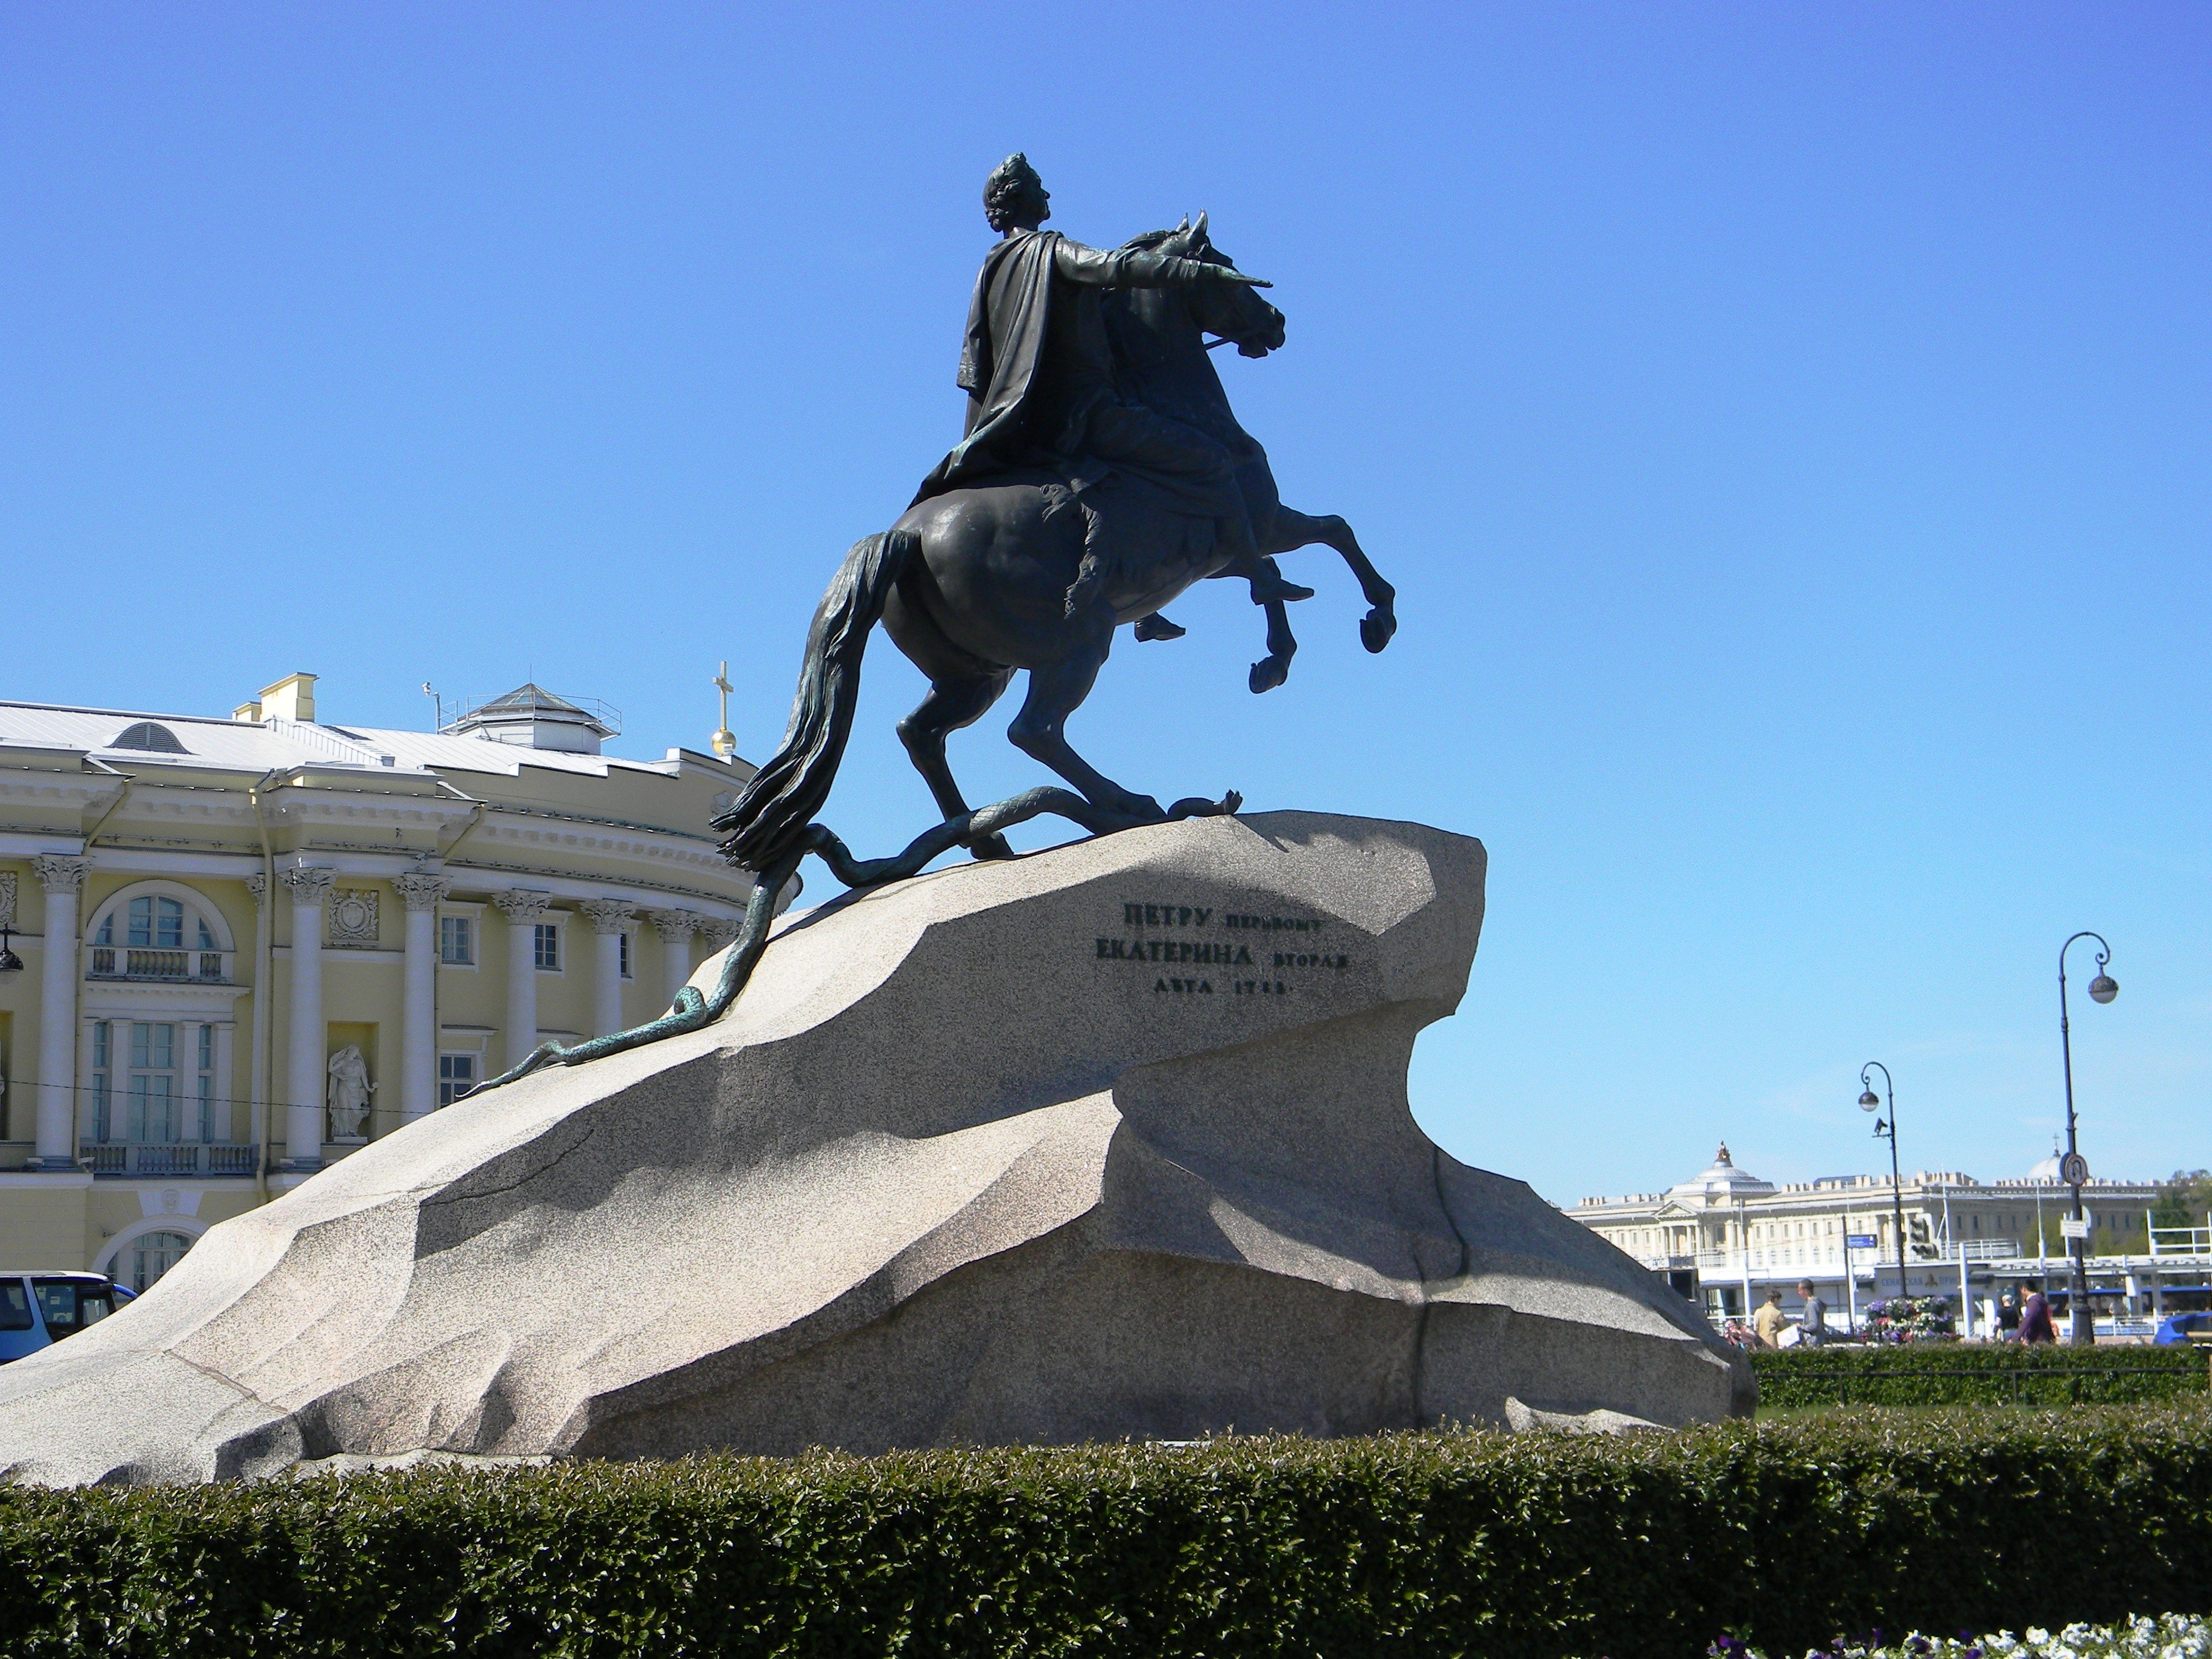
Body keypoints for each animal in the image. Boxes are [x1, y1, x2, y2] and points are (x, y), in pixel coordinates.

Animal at [712, 221, 1398, 885]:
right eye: (1225, 269)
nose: (1275, 322)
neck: (1184, 411)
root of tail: (906, 536)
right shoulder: (1251, 515)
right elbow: (1329, 536)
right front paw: (1362, 625)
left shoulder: (1223, 551)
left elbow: (1296, 557)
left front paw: (1277, 650)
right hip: (1077, 639)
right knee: (1034, 730)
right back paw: (1124, 804)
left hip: (976, 672)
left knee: (922, 733)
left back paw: (988, 839)